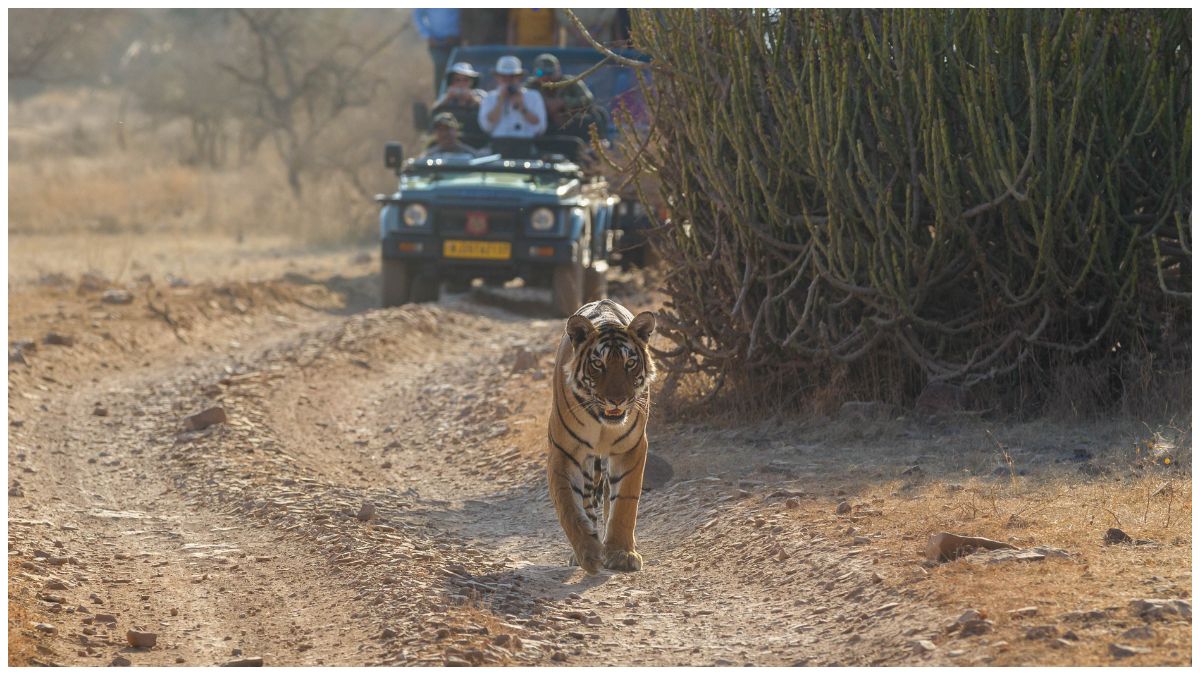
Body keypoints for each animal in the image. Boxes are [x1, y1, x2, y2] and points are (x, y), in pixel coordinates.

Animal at [547, 299, 657, 574]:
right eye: (599, 364)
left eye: (630, 363)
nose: (617, 400)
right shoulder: (564, 453)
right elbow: (569, 507)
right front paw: (588, 553)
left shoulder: (631, 448)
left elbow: (624, 503)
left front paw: (620, 553)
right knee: (587, 501)